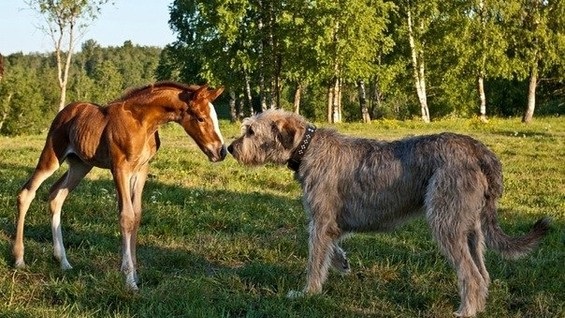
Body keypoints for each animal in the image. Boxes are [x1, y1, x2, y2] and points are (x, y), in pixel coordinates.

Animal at [227, 110, 548, 318]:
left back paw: (465, 311)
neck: (307, 149)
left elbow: (315, 258)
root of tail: (481, 150)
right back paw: (478, 306)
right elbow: (331, 245)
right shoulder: (330, 223)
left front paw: (308, 292)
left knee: (471, 275)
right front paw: (341, 262)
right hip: (470, 227)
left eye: (251, 131)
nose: (229, 148)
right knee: (483, 273)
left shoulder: (320, 219)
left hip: (445, 221)